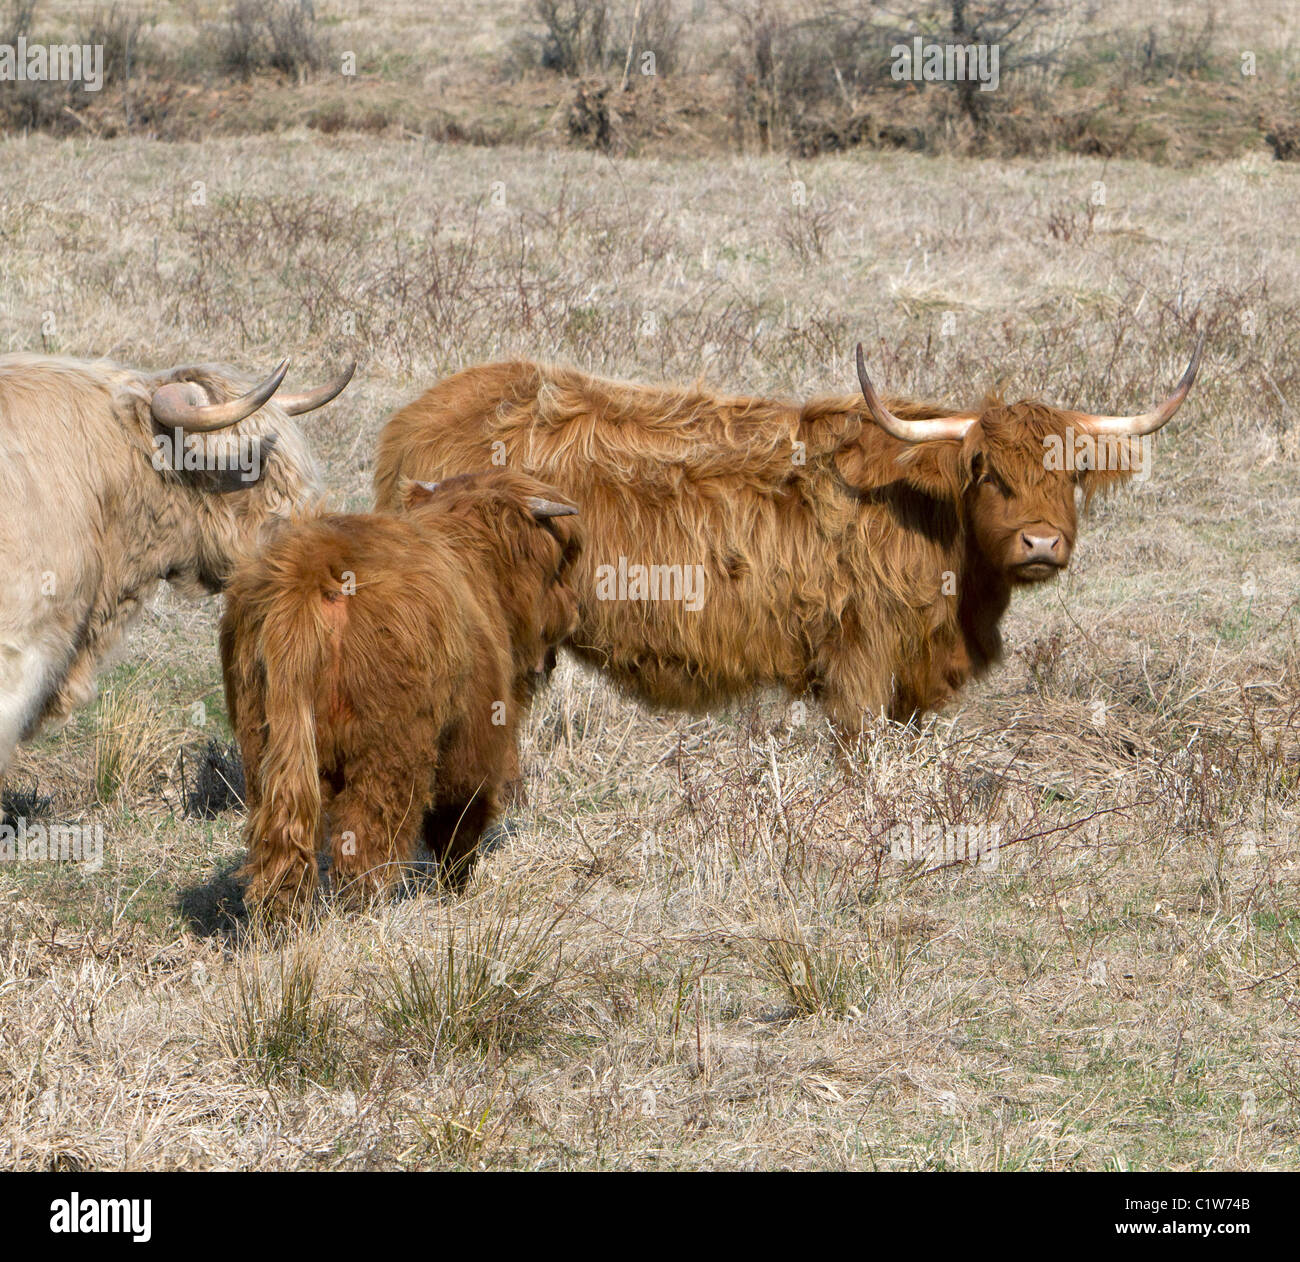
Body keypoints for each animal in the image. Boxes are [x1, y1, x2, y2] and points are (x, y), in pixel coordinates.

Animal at [219, 470, 580, 916]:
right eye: (562, 563)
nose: (574, 611)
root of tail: (310, 571)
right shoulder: (474, 736)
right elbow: (460, 816)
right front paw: (455, 886)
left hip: (261, 741)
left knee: (281, 831)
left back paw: (279, 916)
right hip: (387, 751)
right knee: (367, 835)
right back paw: (366, 906)